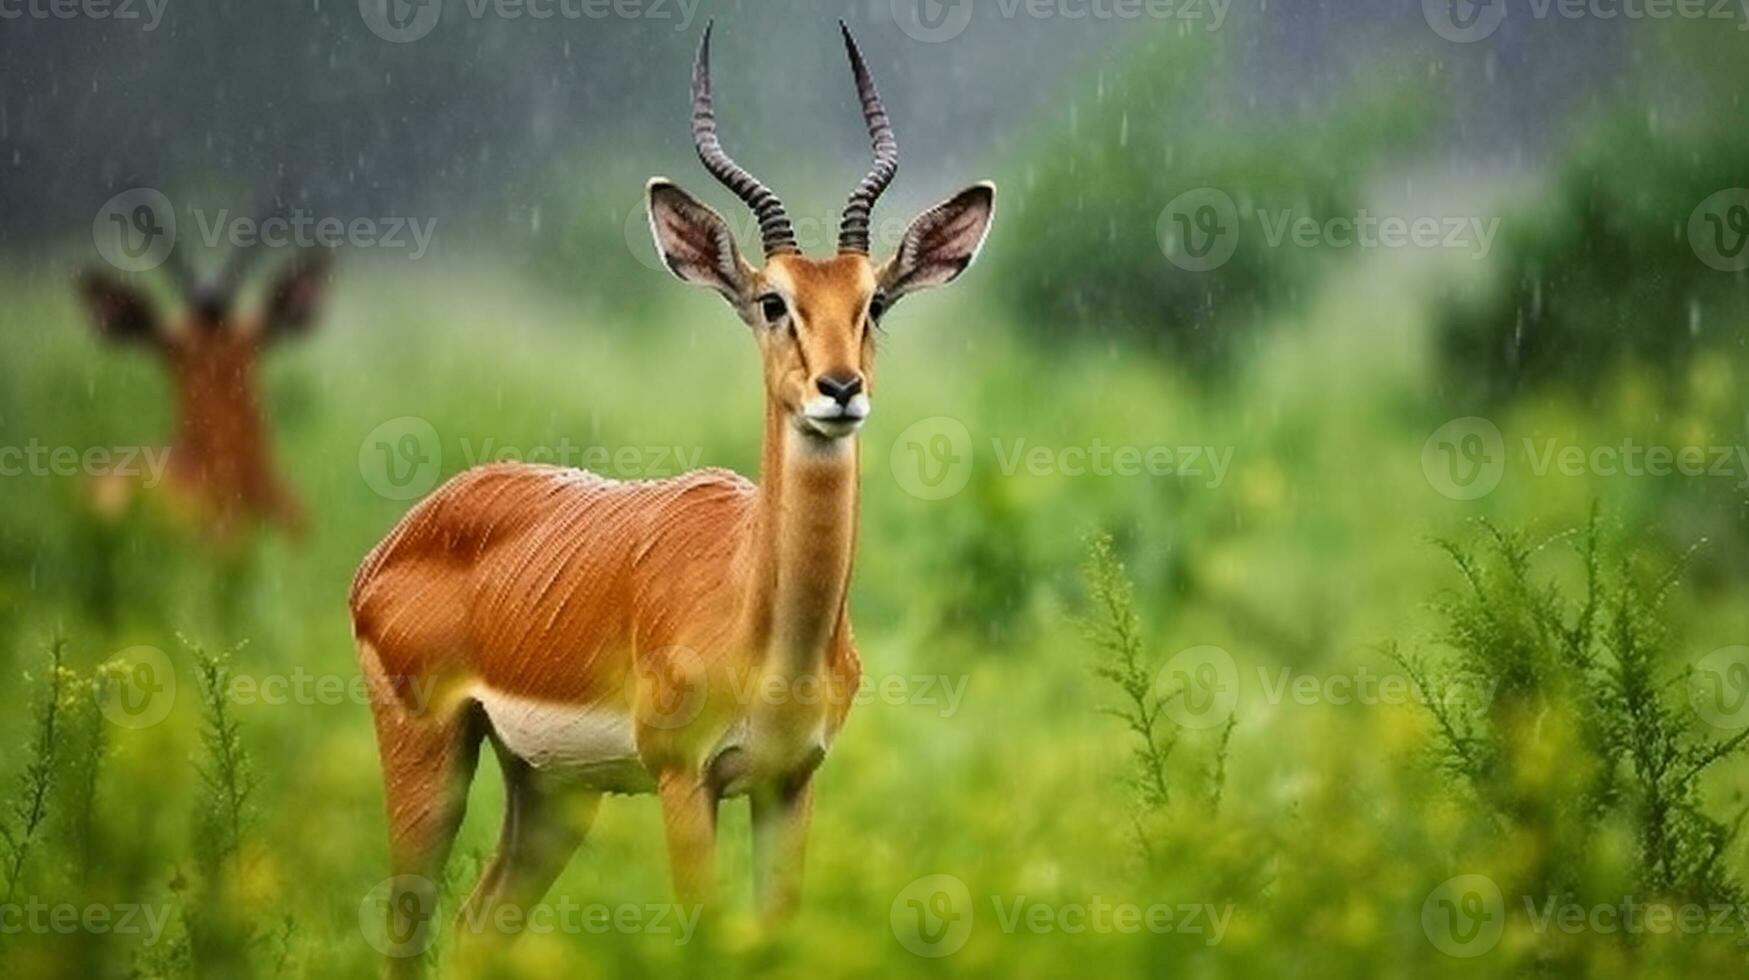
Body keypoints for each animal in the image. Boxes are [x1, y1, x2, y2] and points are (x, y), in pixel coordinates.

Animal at [351, 22, 1000, 973]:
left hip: (552, 790)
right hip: (429, 755)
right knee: (406, 927)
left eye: (874, 300)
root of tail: (390, 545)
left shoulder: (787, 783)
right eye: (772, 301)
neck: (767, 630)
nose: (839, 389)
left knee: (478, 926)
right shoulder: (683, 780)